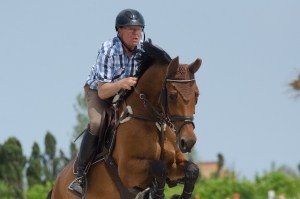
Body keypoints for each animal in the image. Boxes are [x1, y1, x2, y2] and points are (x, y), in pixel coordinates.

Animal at [49, 40, 203, 199]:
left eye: (197, 95)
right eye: (172, 96)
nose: (188, 141)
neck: (152, 121)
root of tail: (56, 184)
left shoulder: (174, 163)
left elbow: (192, 170)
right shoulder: (127, 170)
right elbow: (159, 168)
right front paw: (156, 193)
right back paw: (78, 183)